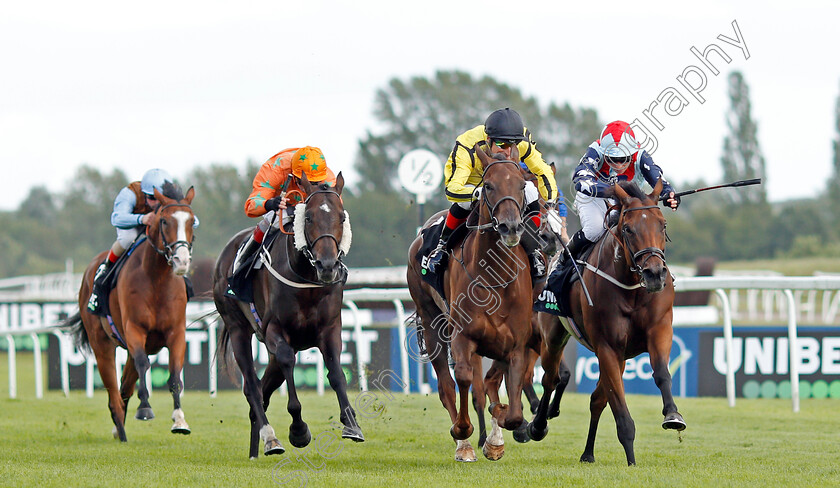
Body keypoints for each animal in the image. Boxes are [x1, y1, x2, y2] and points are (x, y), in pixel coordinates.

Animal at [66, 183, 197, 442]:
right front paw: (145, 408)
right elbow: (144, 364)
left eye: (191, 220)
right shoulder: (135, 330)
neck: (157, 280)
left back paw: (119, 428)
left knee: (124, 386)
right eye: (164, 221)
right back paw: (121, 429)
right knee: (114, 392)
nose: (181, 261)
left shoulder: (176, 333)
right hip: (102, 345)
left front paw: (179, 419)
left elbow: (175, 374)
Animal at [212, 173, 362, 460]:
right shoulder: (275, 331)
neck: (305, 279)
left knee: (263, 389)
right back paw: (270, 438)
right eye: (309, 217)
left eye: (342, 218)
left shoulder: (330, 329)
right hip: (238, 328)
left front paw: (352, 424)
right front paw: (299, 430)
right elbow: (287, 362)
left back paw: (255, 449)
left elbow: (337, 373)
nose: (327, 266)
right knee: (252, 386)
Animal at [408, 145, 536, 462]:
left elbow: (510, 407)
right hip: (431, 320)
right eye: (488, 186)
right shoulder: (463, 336)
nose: (510, 227)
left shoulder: (515, 342)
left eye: (521, 185)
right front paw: (464, 432)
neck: (495, 278)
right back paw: (463, 443)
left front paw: (499, 434)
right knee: (446, 386)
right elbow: (465, 378)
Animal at [528, 179, 684, 466]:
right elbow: (620, 408)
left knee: (596, 399)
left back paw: (588, 453)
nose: (655, 274)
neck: (632, 288)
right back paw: (538, 425)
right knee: (550, 378)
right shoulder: (607, 347)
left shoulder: (658, 330)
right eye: (628, 228)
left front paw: (673, 415)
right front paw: (631, 461)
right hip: (552, 338)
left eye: (663, 224)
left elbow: (661, 373)